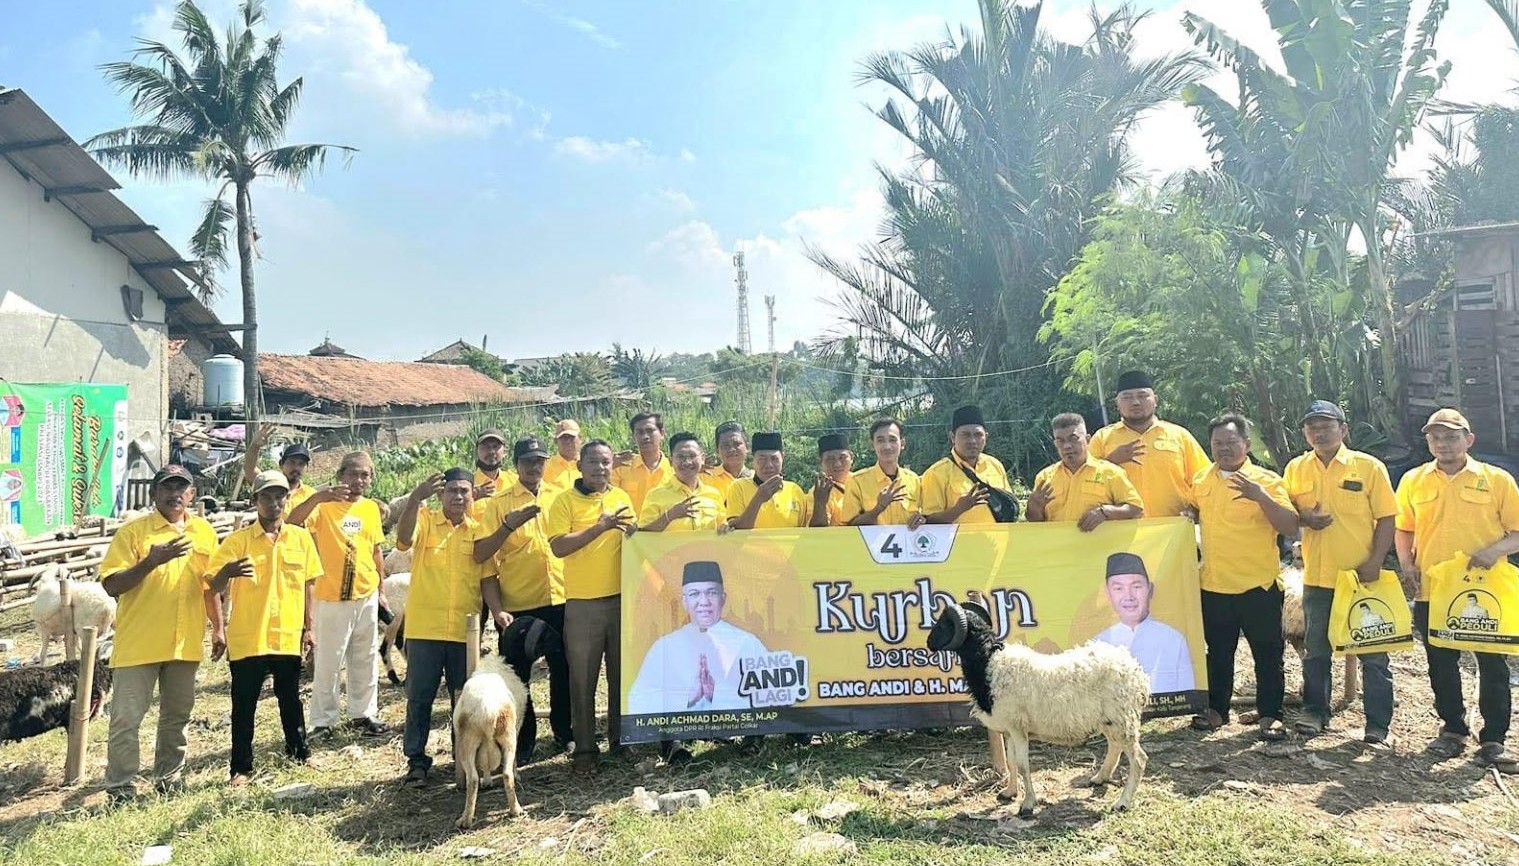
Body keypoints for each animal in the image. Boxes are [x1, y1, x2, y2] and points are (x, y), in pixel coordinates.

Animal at [449, 650, 528, 826]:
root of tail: (488, 710)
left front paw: (487, 781)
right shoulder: (517, 729)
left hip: (467, 743)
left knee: (473, 780)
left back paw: (465, 820)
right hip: (507, 737)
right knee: (506, 774)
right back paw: (515, 810)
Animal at [923, 589, 1148, 814]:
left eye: (943, 624)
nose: (928, 643)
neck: (989, 663)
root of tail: (1135, 669)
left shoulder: (1018, 728)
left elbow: (1023, 766)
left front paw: (1028, 804)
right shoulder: (1009, 730)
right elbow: (1012, 762)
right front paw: (1009, 793)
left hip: (1122, 719)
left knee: (1138, 759)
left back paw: (1122, 802)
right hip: (1111, 720)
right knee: (1115, 747)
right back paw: (1099, 778)